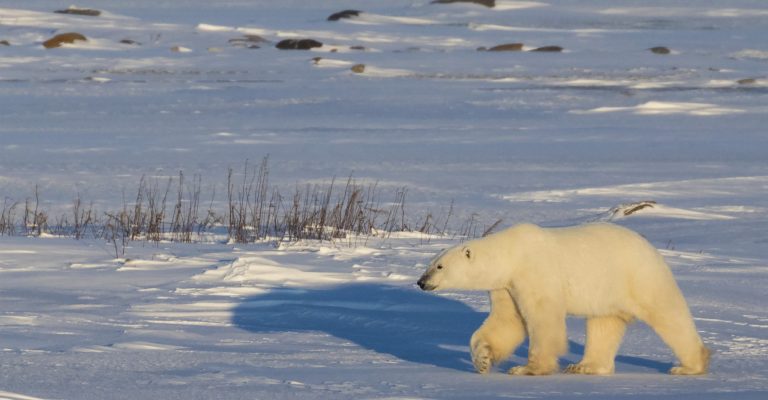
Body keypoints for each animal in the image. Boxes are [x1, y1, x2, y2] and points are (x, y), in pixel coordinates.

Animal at [417, 222, 710, 376]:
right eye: (430, 262)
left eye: (439, 266)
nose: (421, 282)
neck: (512, 253)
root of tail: (648, 246)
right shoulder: (506, 286)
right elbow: (507, 321)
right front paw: (483, 359)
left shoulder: (535, 273)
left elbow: (542, 320)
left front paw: (527, 368)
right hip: (607, 291)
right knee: (603, 325)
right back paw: (584, 366)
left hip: (639, 276)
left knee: (668, 315)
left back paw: (689, 366)